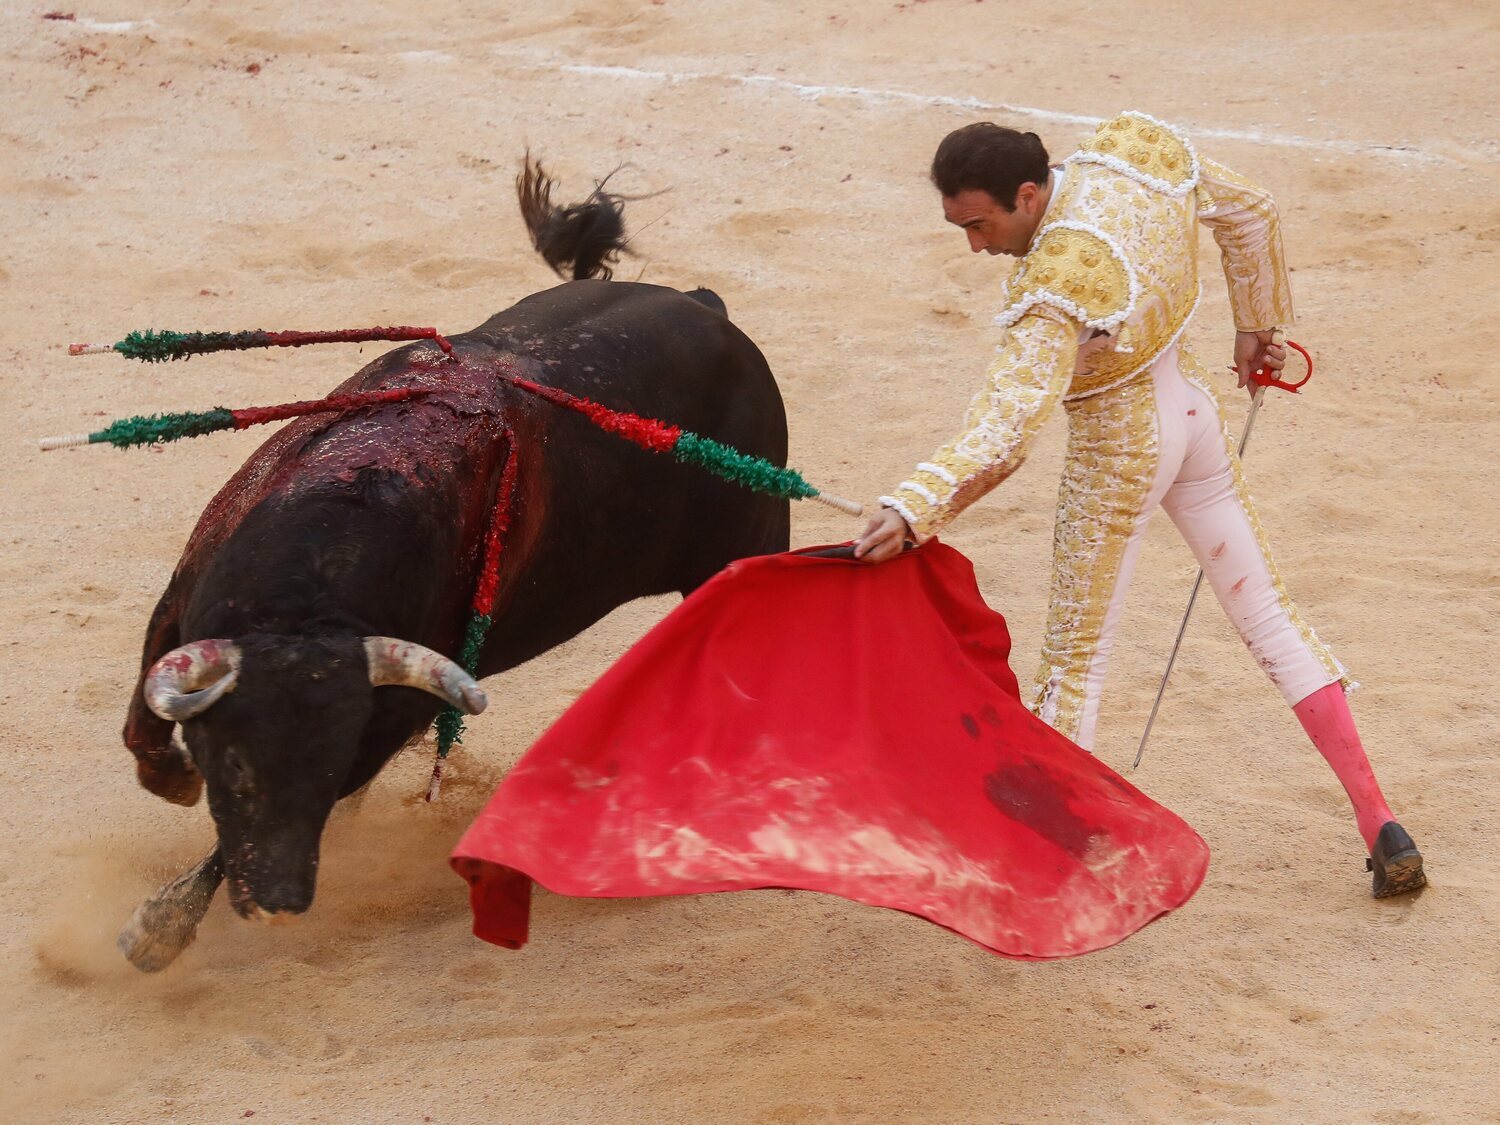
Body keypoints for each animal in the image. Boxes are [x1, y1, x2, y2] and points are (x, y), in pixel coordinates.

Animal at [115, 162, 792, 972]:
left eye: (327, 757)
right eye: (238, 765)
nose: (279, 900)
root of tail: (709, 310)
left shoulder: (389, 714)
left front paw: (157, 928)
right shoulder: (178, 608)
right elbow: (142, 727)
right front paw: (173, 786)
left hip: (749, 542)